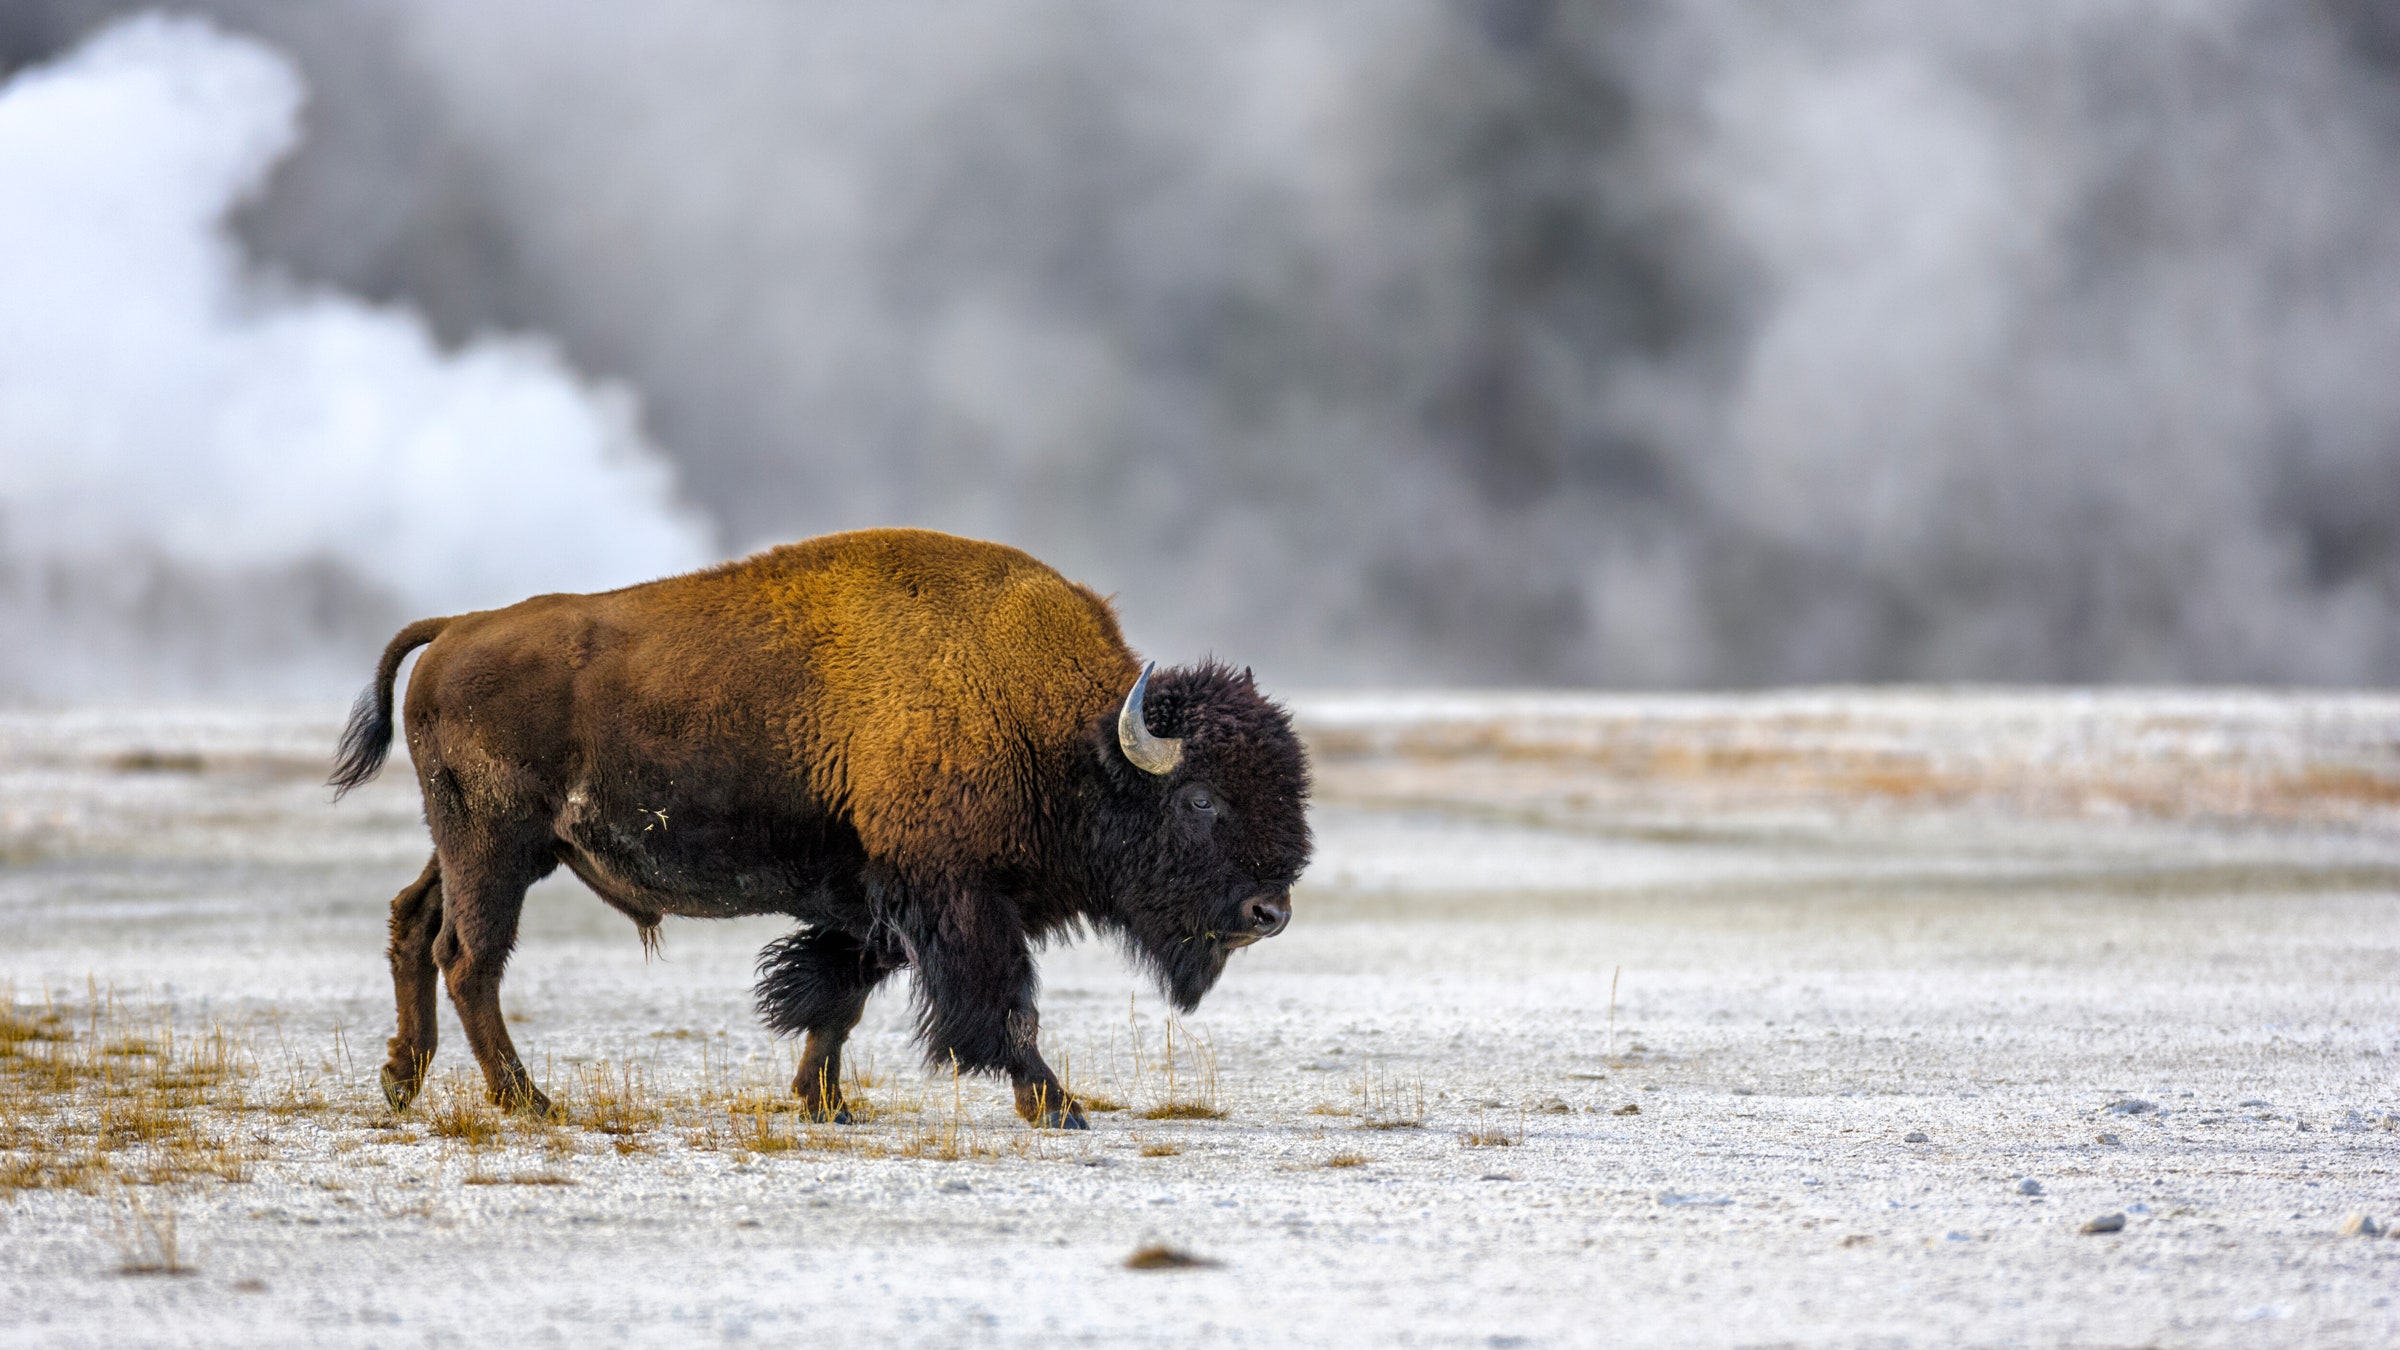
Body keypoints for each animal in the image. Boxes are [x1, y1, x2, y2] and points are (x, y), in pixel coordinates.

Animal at [330, 528, 1311, 1128]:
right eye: (1200, 799)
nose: (1271, 913)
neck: (1060, 732)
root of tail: (457, 628)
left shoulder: (872, 901)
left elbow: (837, 1000)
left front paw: (824, 1103)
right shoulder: (954, 900)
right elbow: (1004, 1008)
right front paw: (1058, 1105)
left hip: (483, 847)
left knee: (415, 923)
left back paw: (402, 1079)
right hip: (495, 847)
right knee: (470, 958)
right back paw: (527, 1101)